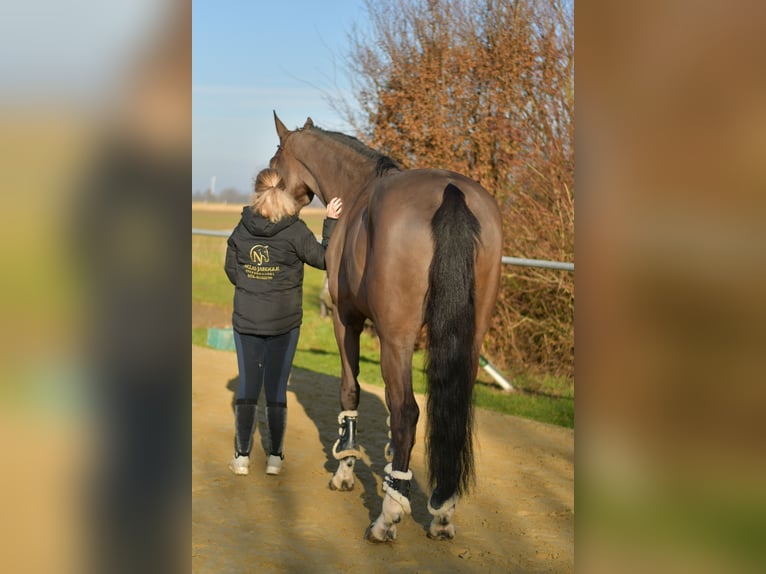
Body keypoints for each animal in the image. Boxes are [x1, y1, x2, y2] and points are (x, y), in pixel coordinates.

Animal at [269, 112, 503, 542]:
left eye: (274, 163)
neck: (357, 191)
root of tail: (451, 192)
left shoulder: (348, 322)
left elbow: (352, 392)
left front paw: (346, 472)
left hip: (395, 338)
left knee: (408, 412)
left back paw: (388, 517)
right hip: (469, 340)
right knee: (451, 413)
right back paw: (442, 511)